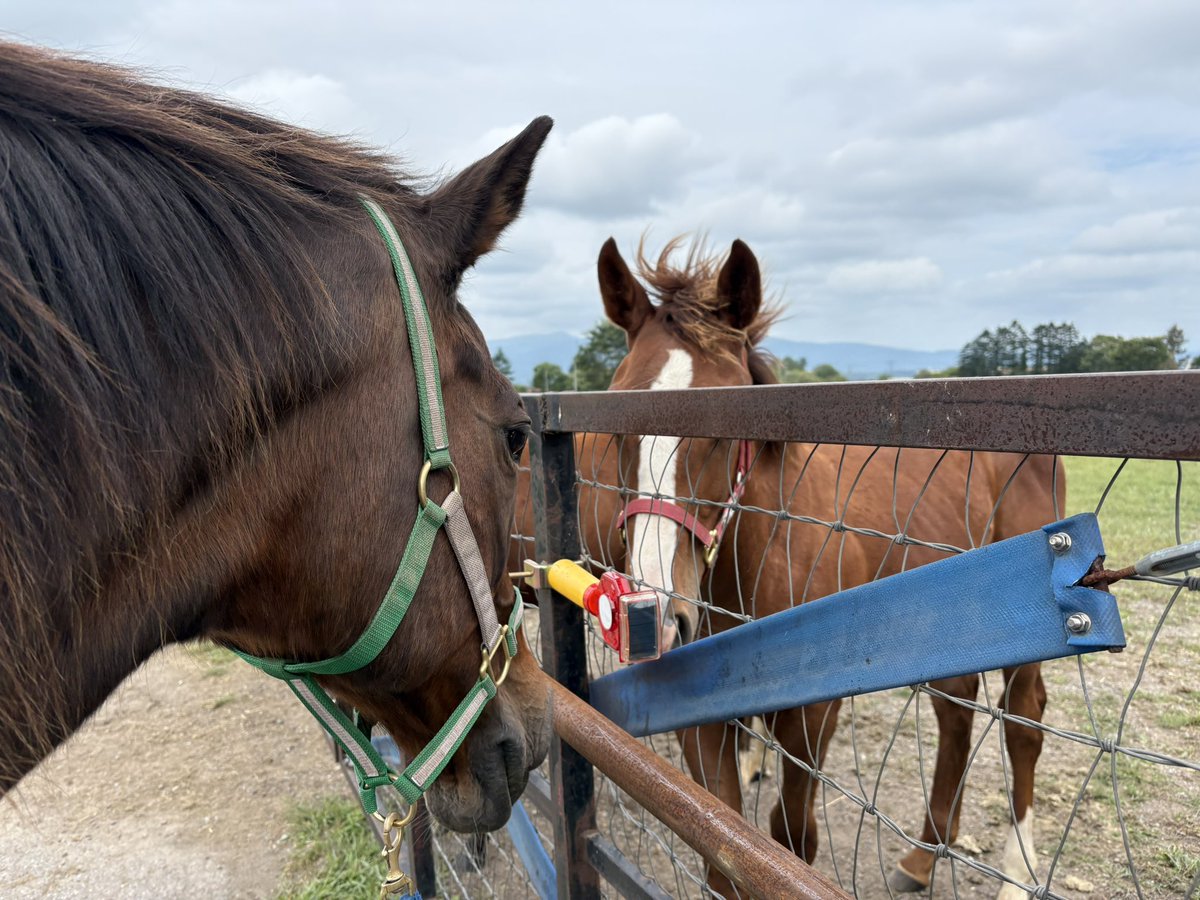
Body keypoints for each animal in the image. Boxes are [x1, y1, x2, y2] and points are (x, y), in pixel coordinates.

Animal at [518, 236, 1062, 899]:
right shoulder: (699, 721)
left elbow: (791, 839)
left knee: (1023, 725)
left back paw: (1017, 872)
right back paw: (922, 857)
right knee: (956, 711)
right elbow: (721, 850)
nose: (654, 617)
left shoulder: (811, 718)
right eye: (616, 417)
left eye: (726, 423)